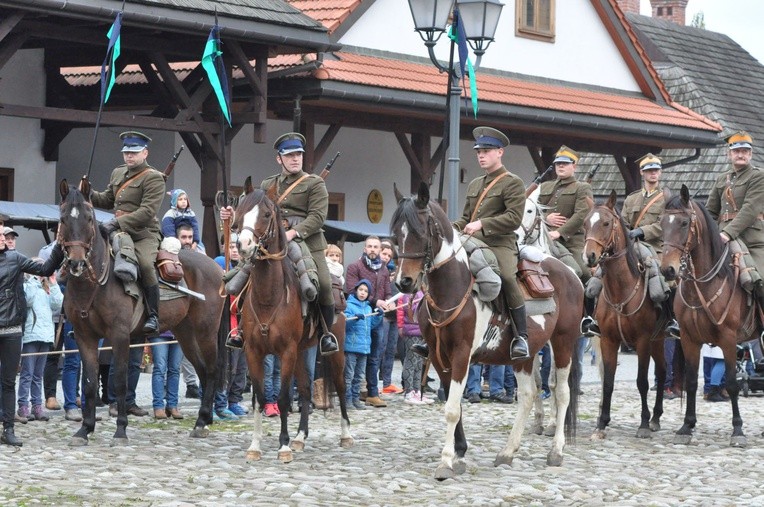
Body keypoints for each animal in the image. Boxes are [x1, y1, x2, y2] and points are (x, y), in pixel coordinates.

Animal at [57, 179, 224, 444]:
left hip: (205, 331)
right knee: (201, 369)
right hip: (185, 334)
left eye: (88, 218)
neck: (94, 284)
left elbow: (120, 382)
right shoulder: (85, 337)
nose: (76, 262)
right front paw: (85, 429)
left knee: (212, 369)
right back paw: (204, 419)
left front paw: (120, 430)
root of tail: (216, 266)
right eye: (63, 219)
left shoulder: (120, 336)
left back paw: (201, 422)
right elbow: (90, 383)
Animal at [234, 188, 354, 464]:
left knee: (341, 387)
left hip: (334, 352)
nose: (243, 245)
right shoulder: (254, 352)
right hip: (301, 353)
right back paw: (300, 437)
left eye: (266, 214)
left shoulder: (286, 352)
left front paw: (283, 446)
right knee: (307, 390)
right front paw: (255, 446)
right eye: (240, 211)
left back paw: (345, 434)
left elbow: (283, 398)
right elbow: (260, 398)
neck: (269, 296)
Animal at [390, 184, 580, 480]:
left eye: (420, 232)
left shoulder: (462, 354)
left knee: (561, 393)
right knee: (528, 395)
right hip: (524, 355)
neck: (453, 287)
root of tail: (571, 273)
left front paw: (446, 462)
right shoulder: (438, 356)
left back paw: (556, 451)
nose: (404, 282)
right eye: (396, 235)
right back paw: (507, 452)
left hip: (563, 343)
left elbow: (451, 409)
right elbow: (455, 405)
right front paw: (459, 452)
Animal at [584, 190, 668, 440]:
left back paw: (655, 419)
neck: (621, 289)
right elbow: (608, 382)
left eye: (605, 223)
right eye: (585, 223)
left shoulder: (642, 341)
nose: (589, 256)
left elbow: (642, 382)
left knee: (662, 372)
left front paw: (643, 424)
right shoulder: (608, 340)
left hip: (658, 340)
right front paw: (601, 424)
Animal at [660, 185, 760, 446]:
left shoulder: (728, 339)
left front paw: (738, 430)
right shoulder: (689, 339)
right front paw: (686, 426)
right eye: (662, 223)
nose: (668, 270)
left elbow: (733, 383)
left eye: (684, 223)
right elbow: (691, 382)